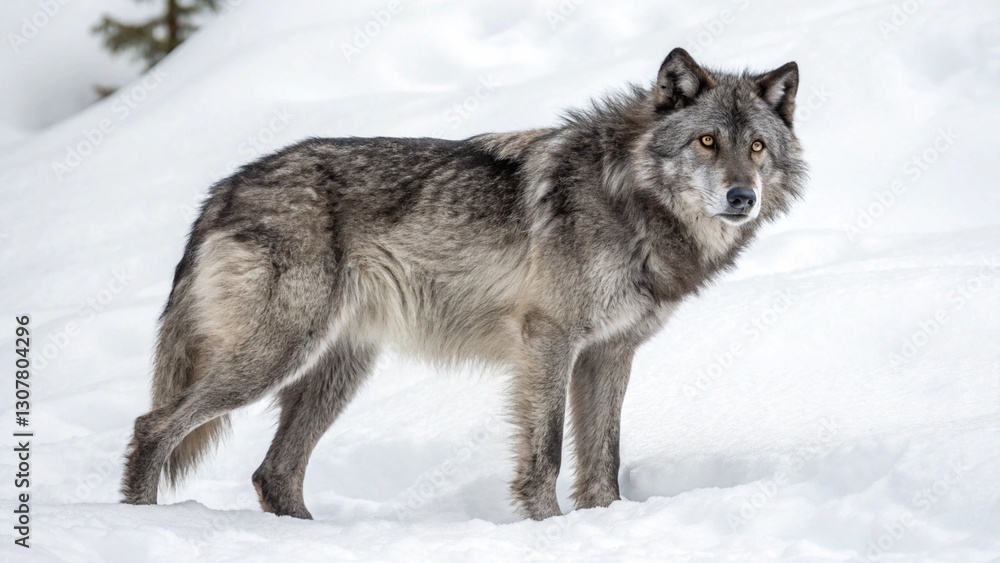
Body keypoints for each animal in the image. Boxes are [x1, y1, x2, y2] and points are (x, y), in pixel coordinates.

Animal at [121, 48, 806, 520]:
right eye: (707, 140)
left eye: (757, 147)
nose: (741, 197)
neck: (631, 200)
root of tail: (222, 190)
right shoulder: (548, 341)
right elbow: (547, 452)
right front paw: (549, 527)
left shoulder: (609, 353)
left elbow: (604, 458)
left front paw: (604, 524)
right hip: (276, 355)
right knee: (154, 427)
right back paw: (142, 520)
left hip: (338, 369)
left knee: (275, 473)